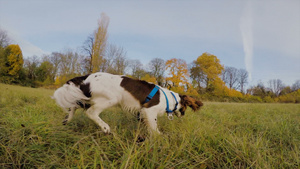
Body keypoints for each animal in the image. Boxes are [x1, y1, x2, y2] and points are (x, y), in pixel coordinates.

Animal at [53, 72, 204, 135]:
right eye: (184, 109)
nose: (183, 115)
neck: (168, 99)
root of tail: (87, 77)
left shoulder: (141, 114)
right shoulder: (149, 111)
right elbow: (155, 128)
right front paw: (160, 138)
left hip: (85, 97)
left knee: (73, 106)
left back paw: (66, 121)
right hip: (111, 98)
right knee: (91, 113)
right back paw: (106, 128)